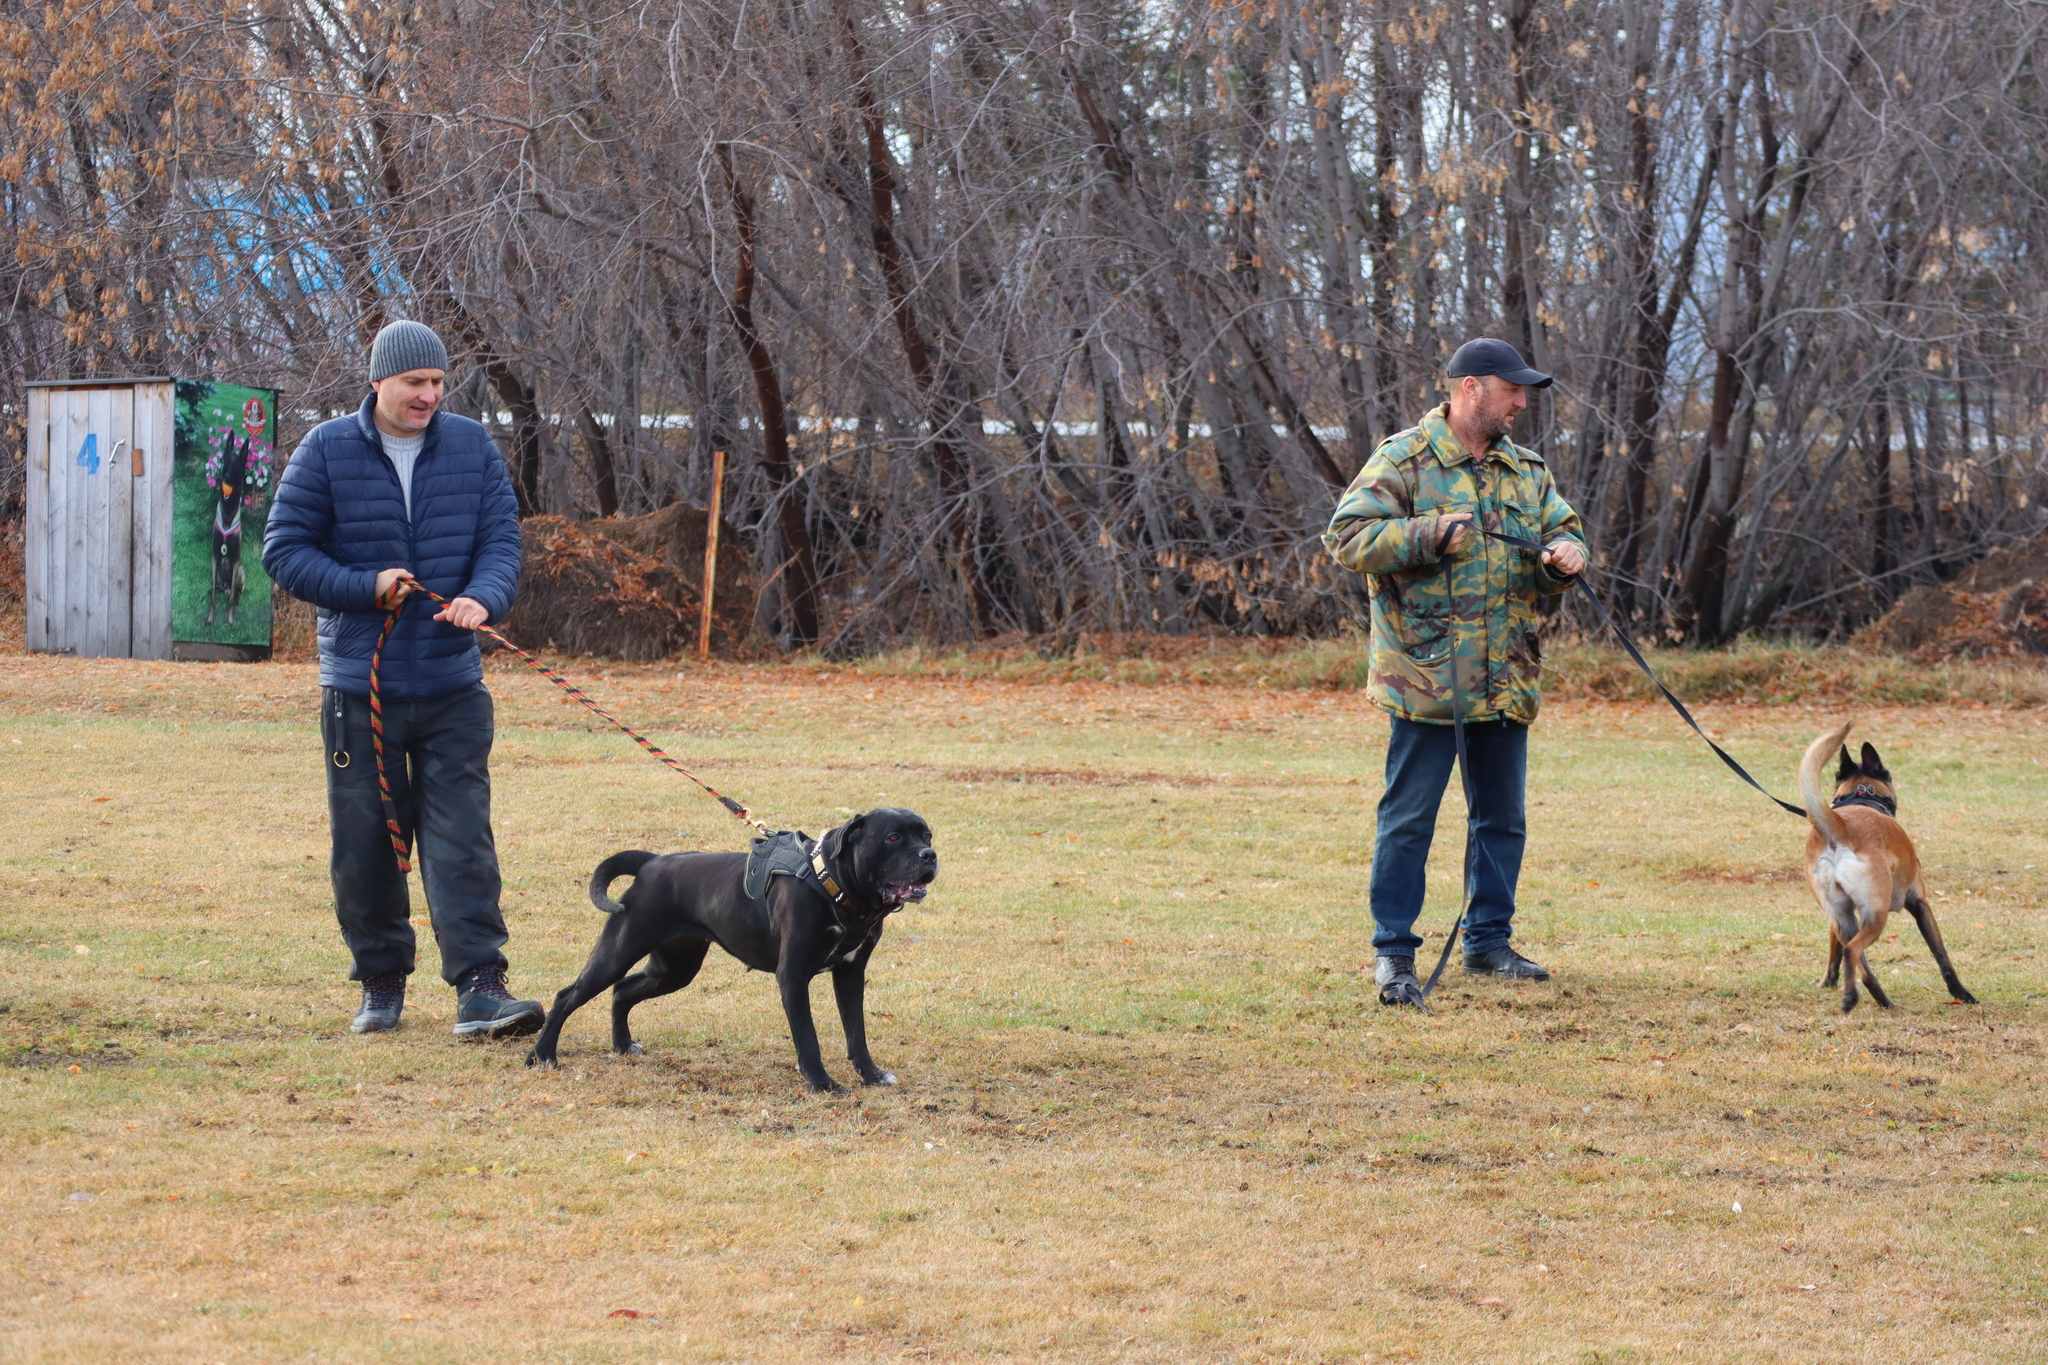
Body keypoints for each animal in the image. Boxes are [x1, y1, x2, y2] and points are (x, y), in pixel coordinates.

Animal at [532, 810, 937, 1088]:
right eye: (893, 837)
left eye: (927, 834)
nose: (930, 855)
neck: (833, 884)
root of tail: (652, 862)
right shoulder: (793, 976)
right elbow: (808, 1038)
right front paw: (822, 1084)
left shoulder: (851, 973)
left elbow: (856, 1031)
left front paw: (871, 1075)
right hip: (618, 952)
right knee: (568, 996)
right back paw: (542, 1056)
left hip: (674, 969)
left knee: (622, 991)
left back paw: (622, 1045)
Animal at [1802, 724, 1974, 1015]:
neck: (1862, 797)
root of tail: (1838, 825)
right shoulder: (1920, 903)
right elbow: (1941, 955)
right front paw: (1961, 993)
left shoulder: (1836, 919)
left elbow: (1833, 949)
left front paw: (1828, 982)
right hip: (1876, 913)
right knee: (1852, 951)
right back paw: (1856, 998)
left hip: (1845, 916)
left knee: (1855, 958)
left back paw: (1876, 1000)